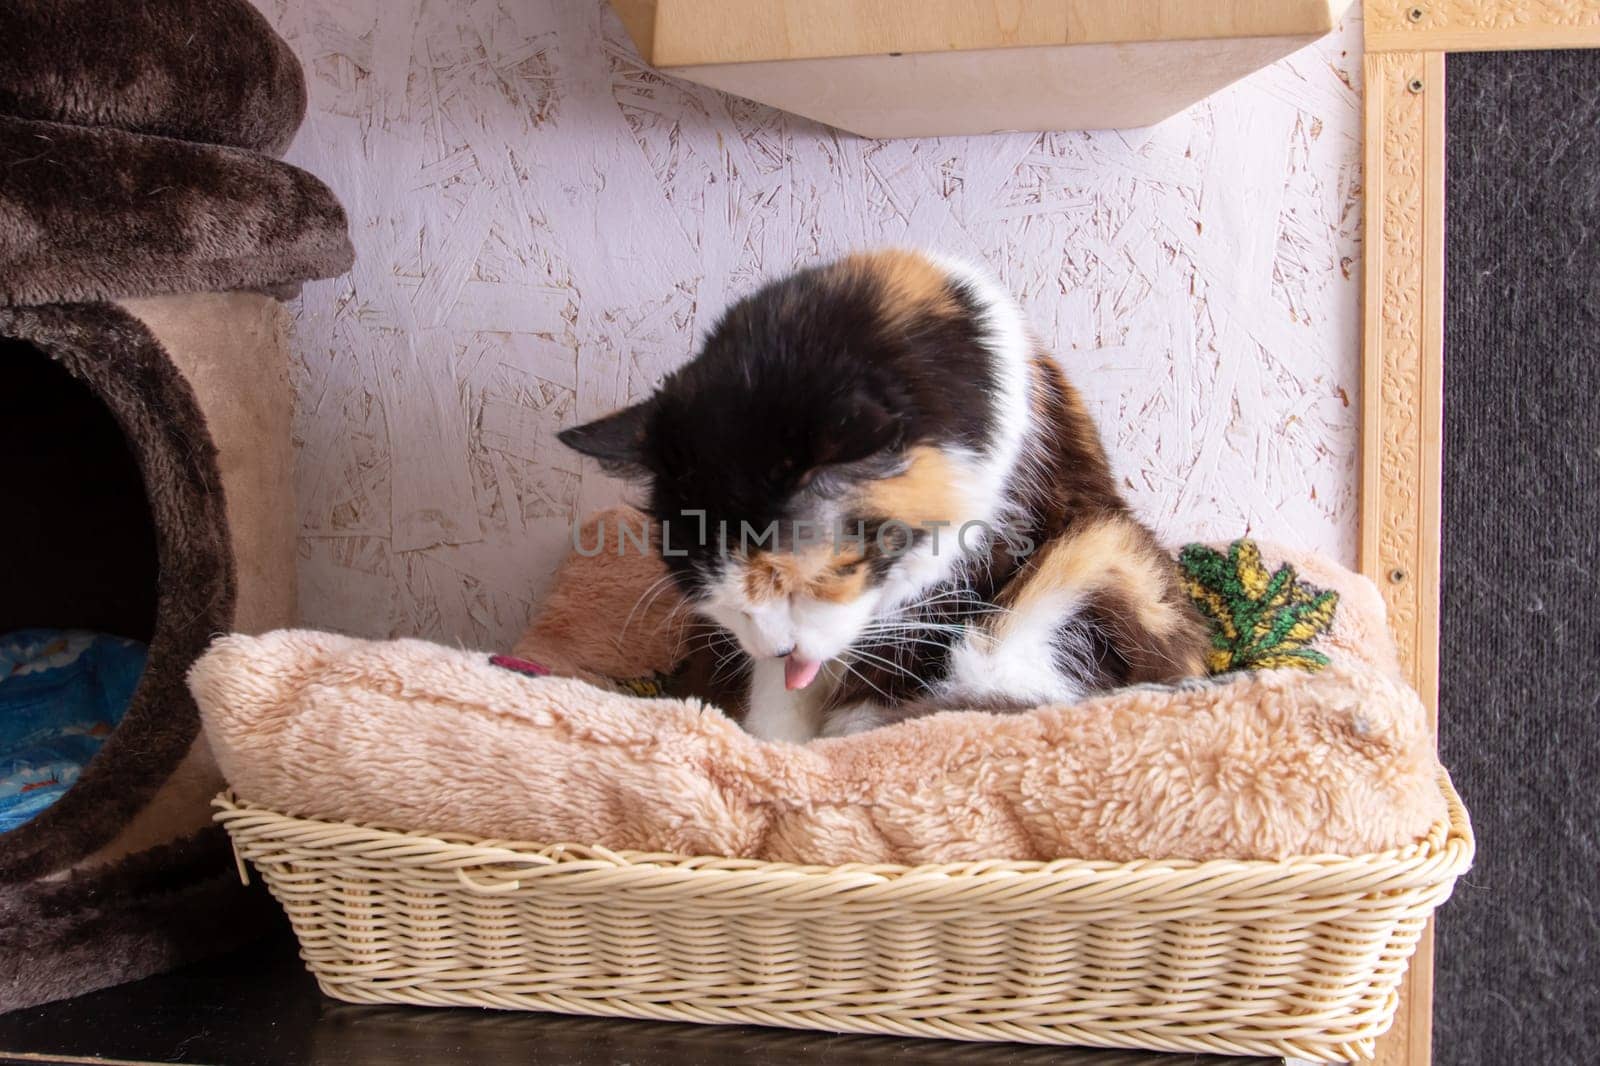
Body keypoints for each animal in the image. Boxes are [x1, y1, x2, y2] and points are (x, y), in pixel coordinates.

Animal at [556, 251, 1203, 739]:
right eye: (712, 587)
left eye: (824, 576)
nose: (780, 648)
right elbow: (780, 699)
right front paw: (774, 751)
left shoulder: (963, 574)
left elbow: (886, 682)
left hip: (1100, 550)